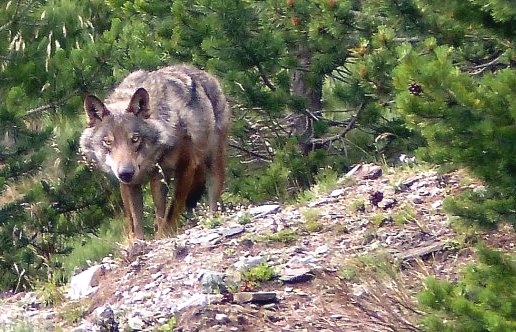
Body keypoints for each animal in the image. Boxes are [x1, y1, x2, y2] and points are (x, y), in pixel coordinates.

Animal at [80, 65, 230, 239]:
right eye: (108, 142)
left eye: (135, 138)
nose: (125, 173)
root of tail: (204, 73)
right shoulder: (131, 183)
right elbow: (135, 220)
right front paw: (137, 242)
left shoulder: (186, 167)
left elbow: (171, 211)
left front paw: (162, 236)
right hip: (158, 179)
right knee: (159, 211)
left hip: (211, 163)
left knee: (212, 198)